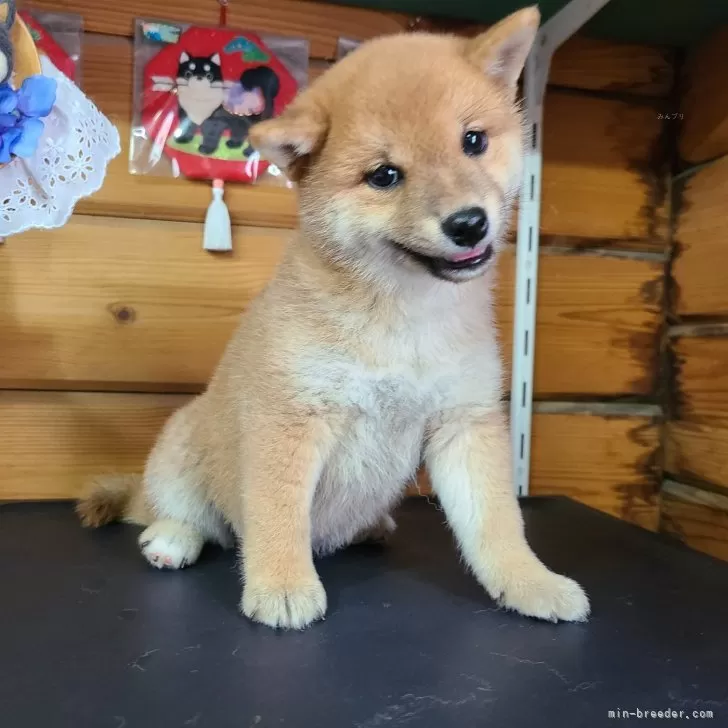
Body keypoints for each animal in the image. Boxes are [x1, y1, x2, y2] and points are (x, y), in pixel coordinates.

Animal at [78, 5, 592, 628]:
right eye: (385, 176)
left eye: (473, 141)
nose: (469, 223)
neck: (405, 313)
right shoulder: (291, 418)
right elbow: (277, 516)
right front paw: (282, 585)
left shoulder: (464, 422)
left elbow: (497, 524)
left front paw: (529, 582)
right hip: (181, 452)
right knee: (188, 515)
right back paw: (172, 538)